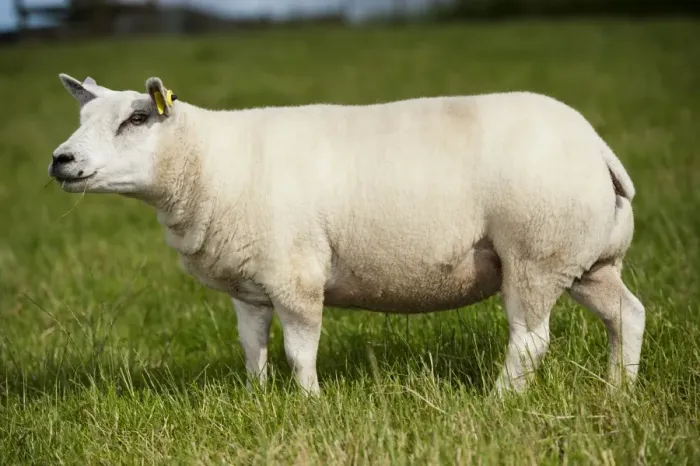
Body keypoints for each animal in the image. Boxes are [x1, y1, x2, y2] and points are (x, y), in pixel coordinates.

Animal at [49, 73, 645, 396]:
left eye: (137, 120)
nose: (60, 160)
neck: (210, 161)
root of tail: (597, 146)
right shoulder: (250, 284)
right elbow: (251, 346)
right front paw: (256, 397)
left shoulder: (295, 274)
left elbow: (298, 351)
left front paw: (308, 404)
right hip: (588, 261)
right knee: (627, 315)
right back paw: (619, 388)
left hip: (536, 252)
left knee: (530, 340)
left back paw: (499, 400)